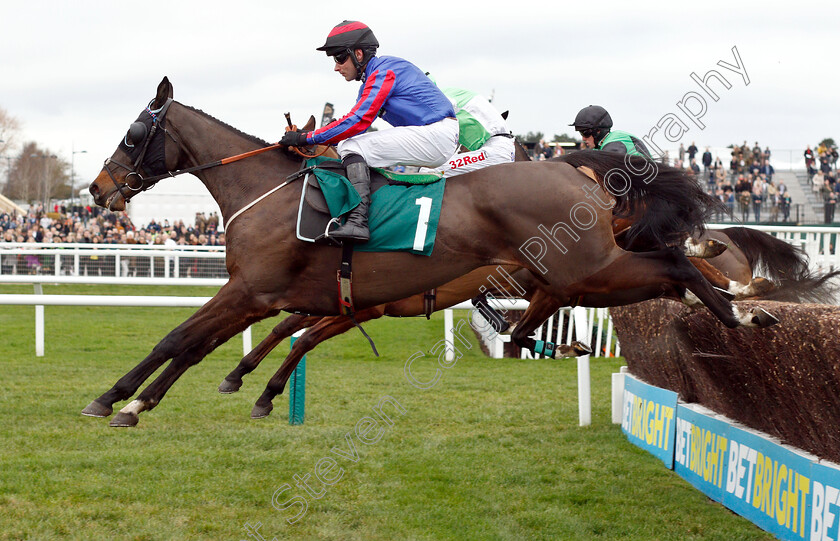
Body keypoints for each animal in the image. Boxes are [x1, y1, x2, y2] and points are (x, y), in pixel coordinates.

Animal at [85, 78, 776, 428]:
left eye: (134, 133)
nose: (96, 190)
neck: (267, 191)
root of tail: (574, 168)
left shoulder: (254, 289)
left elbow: (181, 339)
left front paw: (118, 399)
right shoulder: (301, 297)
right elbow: (226, 342)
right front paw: (165, 396)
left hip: (587, 267)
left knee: (677, 264)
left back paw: (740, 307)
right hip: (583, 272)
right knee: (664, 275)